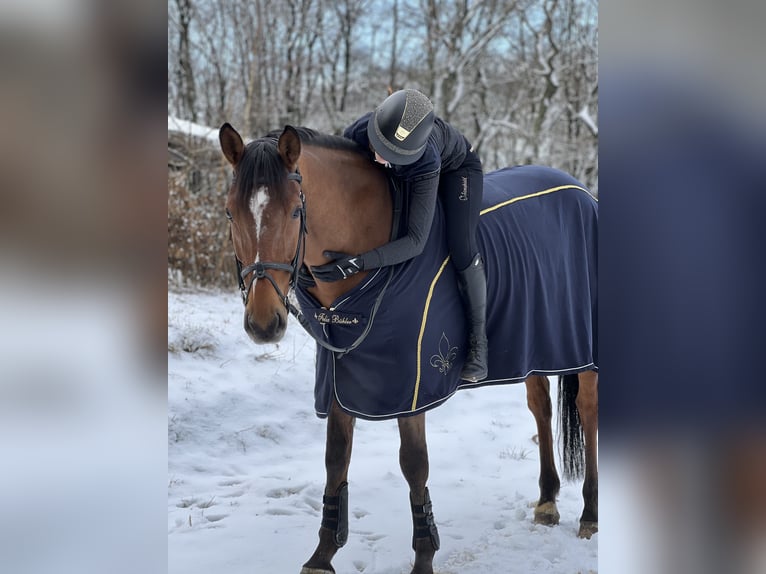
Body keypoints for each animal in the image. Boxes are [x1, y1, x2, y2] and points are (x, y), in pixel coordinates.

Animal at [218, 122, 600, 574]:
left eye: (296, 211)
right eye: (231, 212)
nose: (263, 323)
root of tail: (581, 191)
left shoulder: (411, 382)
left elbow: (414, 464)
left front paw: (424, 555)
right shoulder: (342, 375)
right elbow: (336, 459)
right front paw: (323, 554)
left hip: (585, 349)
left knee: (588, 413)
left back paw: (590, 514)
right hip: (536, 346)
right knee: (540, 408)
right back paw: (546, 502)